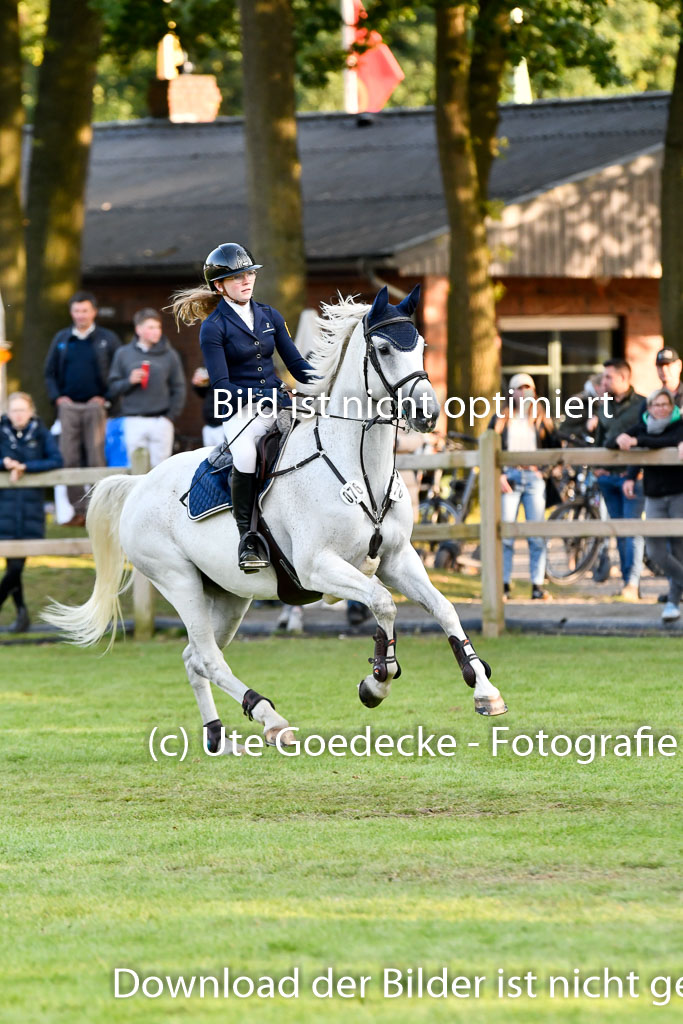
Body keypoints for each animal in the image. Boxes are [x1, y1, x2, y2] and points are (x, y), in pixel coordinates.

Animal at [43, 286, 507, 753]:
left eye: (423, 346)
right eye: (384, 348)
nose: (427, 414)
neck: (359, 467)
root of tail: (140, 483)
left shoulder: (397, 559)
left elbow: (443, 607)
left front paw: (484, 689)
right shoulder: (318, 566)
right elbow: (382, 602)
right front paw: (378, 681)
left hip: (229, 595)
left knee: (195, 658)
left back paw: (217, 735)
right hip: (178, 580)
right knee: (209, 657)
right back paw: (270, 718)